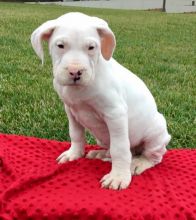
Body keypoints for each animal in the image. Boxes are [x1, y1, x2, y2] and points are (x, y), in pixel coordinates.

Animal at [31, 12, 171, 190]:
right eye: (60, 45)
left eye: (91, 47)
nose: (75, 72)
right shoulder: (70, 109)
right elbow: (76, 134)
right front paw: (74, 153)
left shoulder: (115, 114)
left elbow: (120, 148)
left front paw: (118, 176)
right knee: (117, 150)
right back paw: (102, 153)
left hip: (155, 134)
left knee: (152, 156)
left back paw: (138, 163)